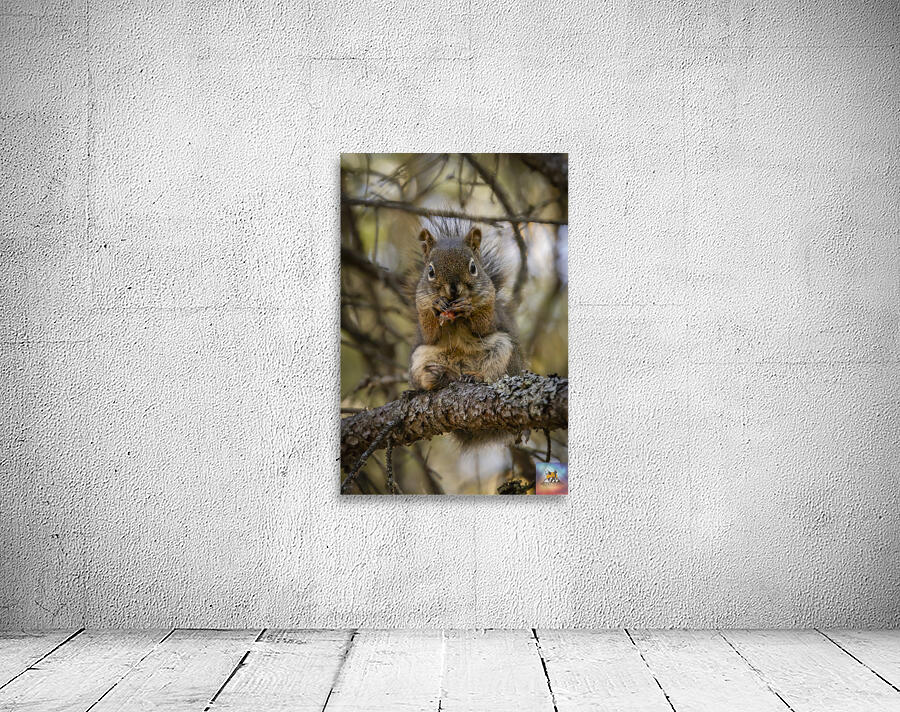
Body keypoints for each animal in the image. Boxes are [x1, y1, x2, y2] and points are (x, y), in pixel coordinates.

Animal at [409, 218, 523, 400]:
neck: (455, 320)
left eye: (473, 267)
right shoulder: (422, 307)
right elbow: (430, 334)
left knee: (495, 373)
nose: (453, 289)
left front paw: (467, 308)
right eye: (430, 271)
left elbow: (484, 326)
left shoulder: (491, 310)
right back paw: (438, 376)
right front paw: (437, 305)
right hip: (419, 359)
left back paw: (475, 376)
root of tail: (460, 373)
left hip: (505, 351)